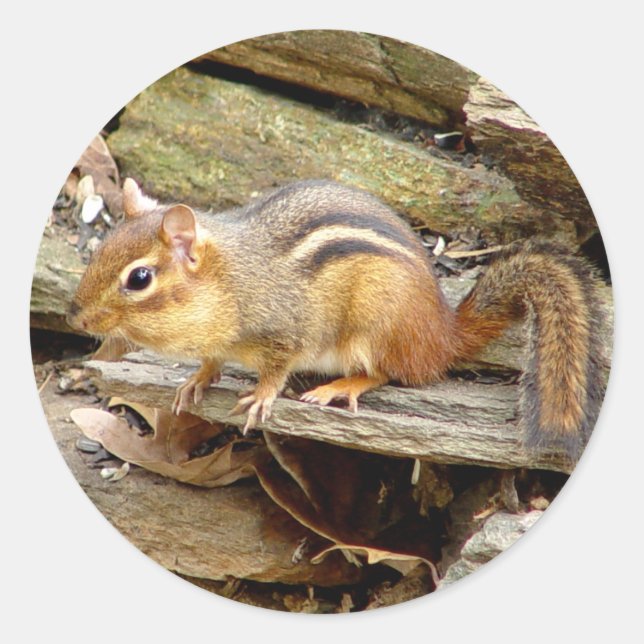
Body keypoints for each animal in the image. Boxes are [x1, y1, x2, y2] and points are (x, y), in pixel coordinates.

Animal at [68, 178, 607, 459]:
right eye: (99, 250)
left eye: (139, 278)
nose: (76, 320)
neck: (231, 280)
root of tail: (442, 333)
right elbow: (210, 362)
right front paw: (195, 381)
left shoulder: (286, 330)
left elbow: (276, 369)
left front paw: (262, 396)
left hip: (373, 325)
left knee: (387, 372)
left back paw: (339, 387)